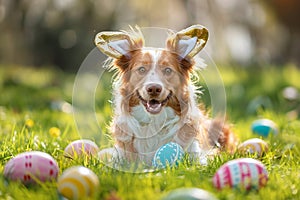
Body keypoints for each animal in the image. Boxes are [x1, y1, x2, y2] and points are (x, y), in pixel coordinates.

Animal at [95, 24, 236, 166]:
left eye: (167, 70)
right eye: (142, 69)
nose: (154, 88)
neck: (154, 122)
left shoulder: (198, 155)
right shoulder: (121, 157)